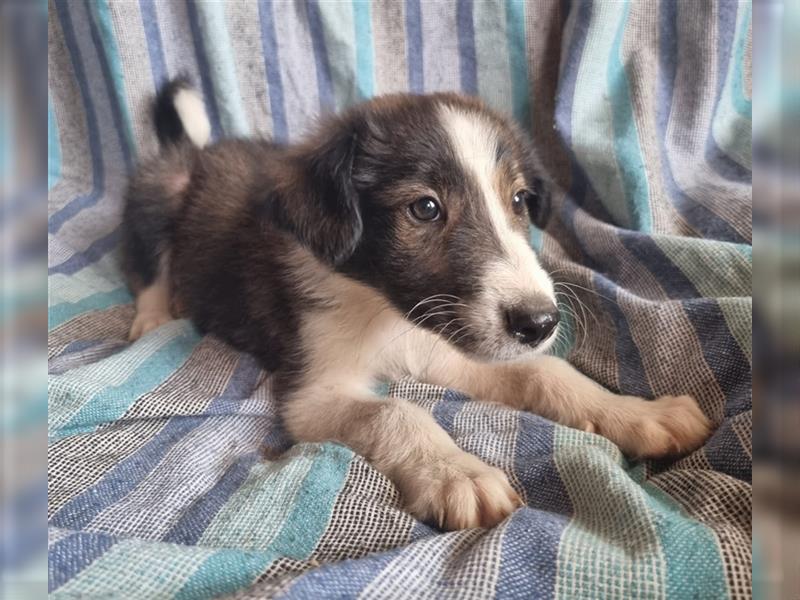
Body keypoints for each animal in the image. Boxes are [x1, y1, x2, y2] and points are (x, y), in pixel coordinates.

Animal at [122, 79, 708, 528]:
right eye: (424, 208)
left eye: (519, 200)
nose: (540, 322)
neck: (384, 311)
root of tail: (202, 151)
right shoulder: (311, 391)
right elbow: (396, 411)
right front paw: (458, 473)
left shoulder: (448, 345)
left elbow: (546, 373)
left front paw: (638, 413)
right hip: (159, 191)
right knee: (152, 261)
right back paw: (152, 315)